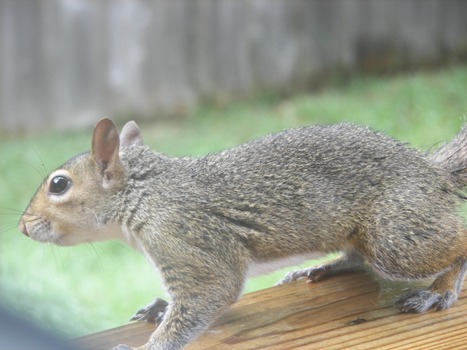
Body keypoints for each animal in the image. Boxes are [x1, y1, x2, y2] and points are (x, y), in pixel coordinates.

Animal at [18, 119, 467, 348]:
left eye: (59, 185)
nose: (22, 226)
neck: (147, 194)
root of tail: (434, 174)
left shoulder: (188, 240)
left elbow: (212, 292)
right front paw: (161, 308)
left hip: (394, 237)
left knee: (457, 242)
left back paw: (439, 289)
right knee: (357, 256)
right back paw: (321, 268)